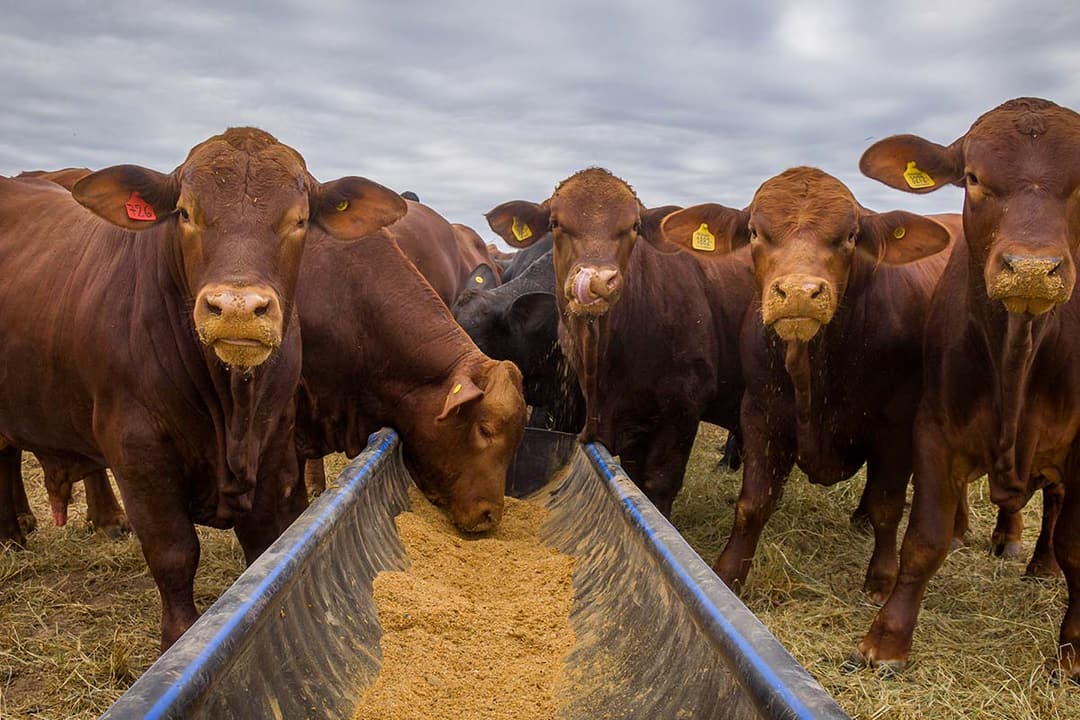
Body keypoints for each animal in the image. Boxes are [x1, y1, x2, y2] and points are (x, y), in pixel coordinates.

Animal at [0, 128, 406, 649]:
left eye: (299, 220)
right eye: (186, 213)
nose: (237, 308)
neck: (229, 407)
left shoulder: (274, 447)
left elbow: (263, 547)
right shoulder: (137, 454)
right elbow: (174, 553)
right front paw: (178, 640)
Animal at [487, 168, 751, 515]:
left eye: (634, 226)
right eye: (555, 222)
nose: (598, 280)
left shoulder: (683, 408)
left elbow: (659, 486)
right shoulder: (626, 421)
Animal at [662, 168, 953, 598]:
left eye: (850, 235)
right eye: (754, 232)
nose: (799, 293)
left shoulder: (897, 428)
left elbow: (888, 506)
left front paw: (881, 578)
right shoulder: (760, 413)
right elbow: (753, 504)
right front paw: (728, 573)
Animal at [848, 97, 1080, 680]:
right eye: (973, 177)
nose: (1032, 270)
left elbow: (1076, 544)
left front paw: (1073, 650)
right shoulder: (934, 427)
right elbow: (922, 538)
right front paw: (887, 638)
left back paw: (1035, 557)